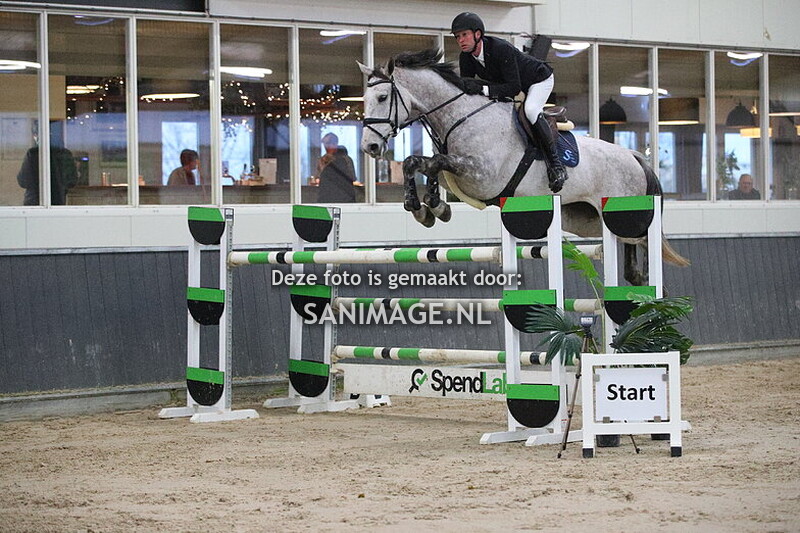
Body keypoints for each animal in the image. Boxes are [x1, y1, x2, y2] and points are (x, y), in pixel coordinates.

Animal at [358, 49, 689, 286]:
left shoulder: (481, 175)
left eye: (383, 97)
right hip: (587, 220)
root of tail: (634, 157)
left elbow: (433, 163)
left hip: (625, 213)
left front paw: (429, 205)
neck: (460, 115)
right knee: (633, 263)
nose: (369, 147)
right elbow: (422, 164)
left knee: (647, 249)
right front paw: (427, 207)